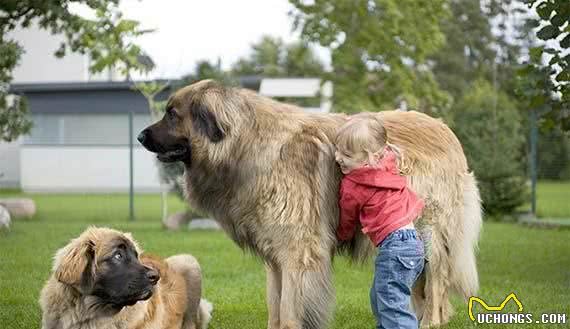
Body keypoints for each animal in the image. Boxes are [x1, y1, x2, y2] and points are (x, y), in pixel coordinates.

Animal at [138, 80, 480, 328]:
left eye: (172, 114)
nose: (140, 137)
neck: (244, 145)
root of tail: (445, 129)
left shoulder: (298, 251)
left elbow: (291, 306)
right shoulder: (275, 256)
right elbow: (275, 304)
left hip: (429, 233)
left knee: (436, 284)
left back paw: (430, 321)